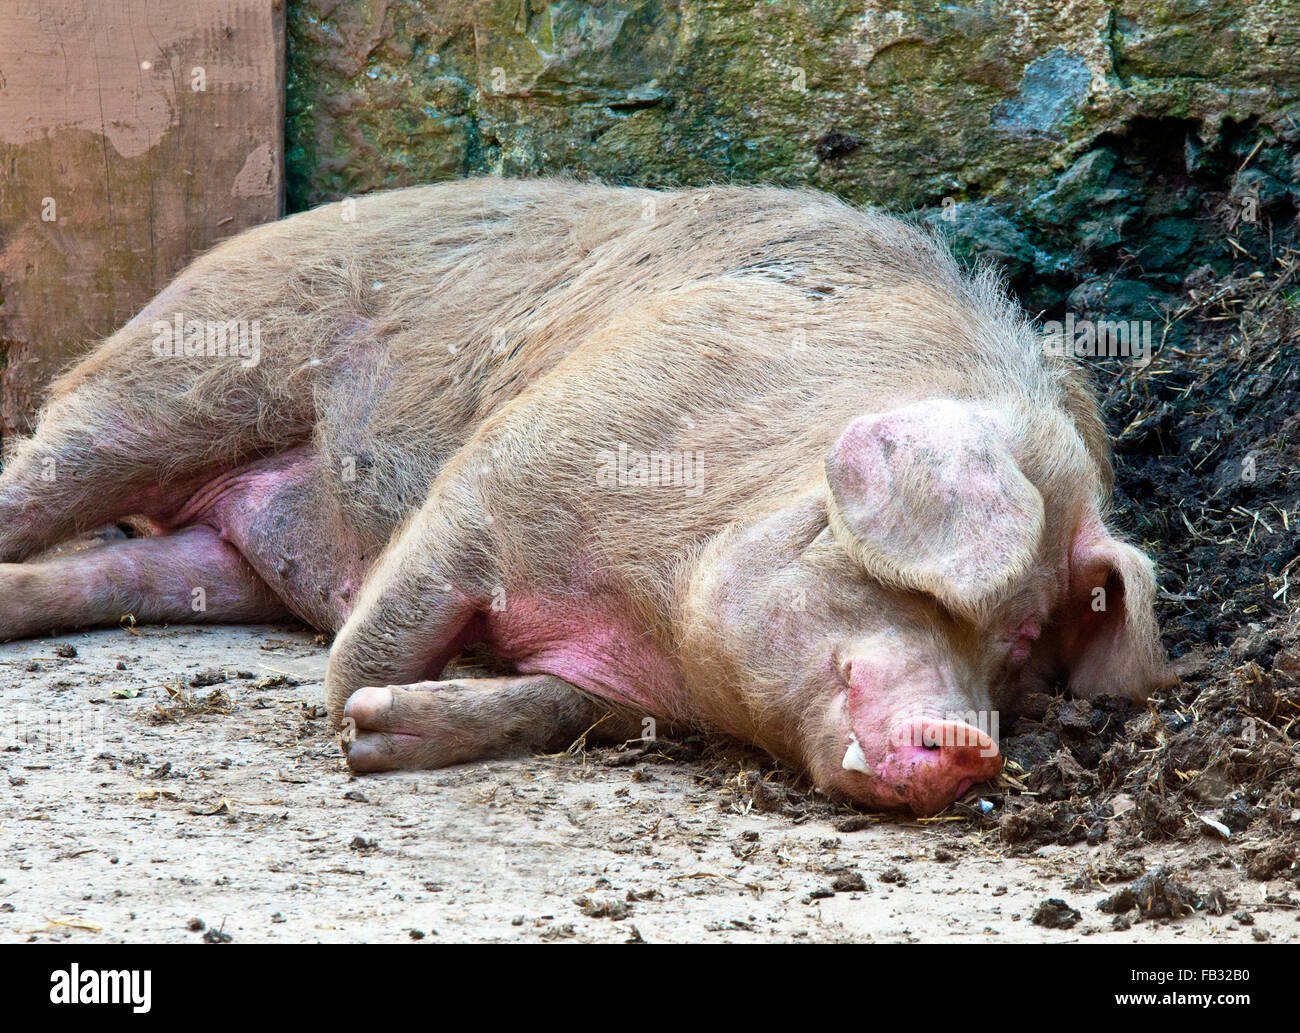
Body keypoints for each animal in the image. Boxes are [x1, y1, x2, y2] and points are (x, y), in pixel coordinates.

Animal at [0, 178, 1170, 816]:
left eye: (1021, 645)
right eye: (940, 599)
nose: (971, 748)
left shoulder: (617, 684)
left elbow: (555, 706)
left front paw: (383, 735)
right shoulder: (506, 470)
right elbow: (378, 638)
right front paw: (354, 730)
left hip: (218, 560)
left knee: (123, 568)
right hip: (180, 371)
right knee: (61, 457)